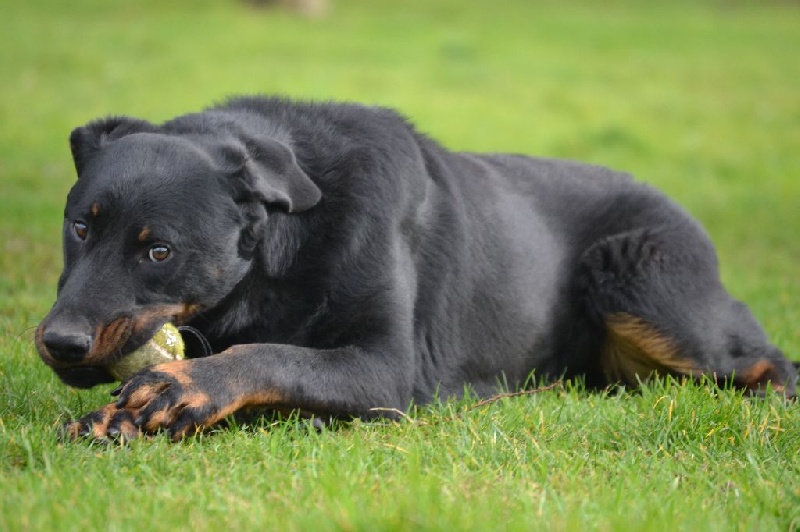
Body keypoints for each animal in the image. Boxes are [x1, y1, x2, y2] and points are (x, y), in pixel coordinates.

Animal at [37, 95, 800, 440]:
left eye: (158, 250)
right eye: (80, 228)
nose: (60, 342)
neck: (282, 258)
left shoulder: (384, 369)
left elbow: (272, 354)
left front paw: (184, 387)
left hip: (635, 282)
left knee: (767, 358)